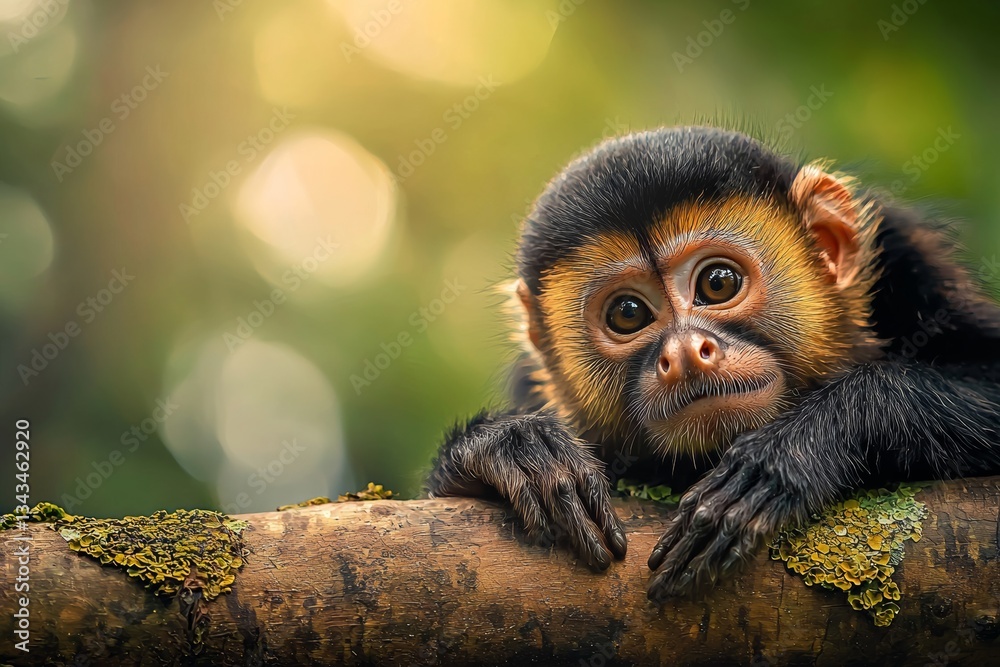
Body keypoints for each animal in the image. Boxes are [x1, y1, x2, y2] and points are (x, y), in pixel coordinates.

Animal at [426, 126, 1000, 602]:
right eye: (627, 313)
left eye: (718, 283)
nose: (684, 354)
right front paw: (512, 449)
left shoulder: (905, 255)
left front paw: (786, 455)